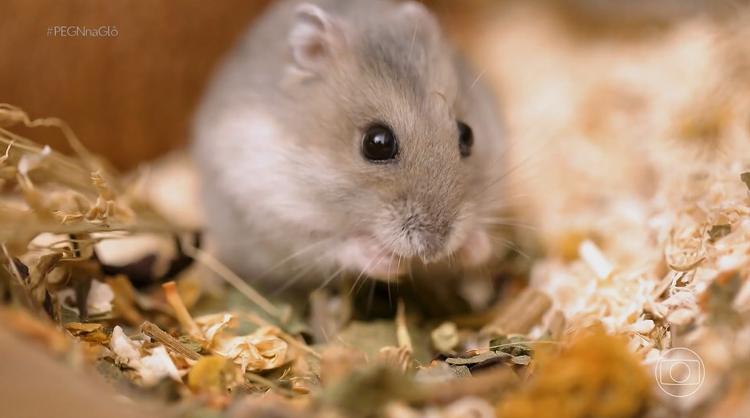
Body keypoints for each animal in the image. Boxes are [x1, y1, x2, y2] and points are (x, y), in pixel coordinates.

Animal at [192, 0, 508, 287]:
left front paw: (474, 247)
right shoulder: (275, 217)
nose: (435, 249)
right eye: (377, 143)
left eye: (467, 134)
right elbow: (334, 244)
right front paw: (393, 266)